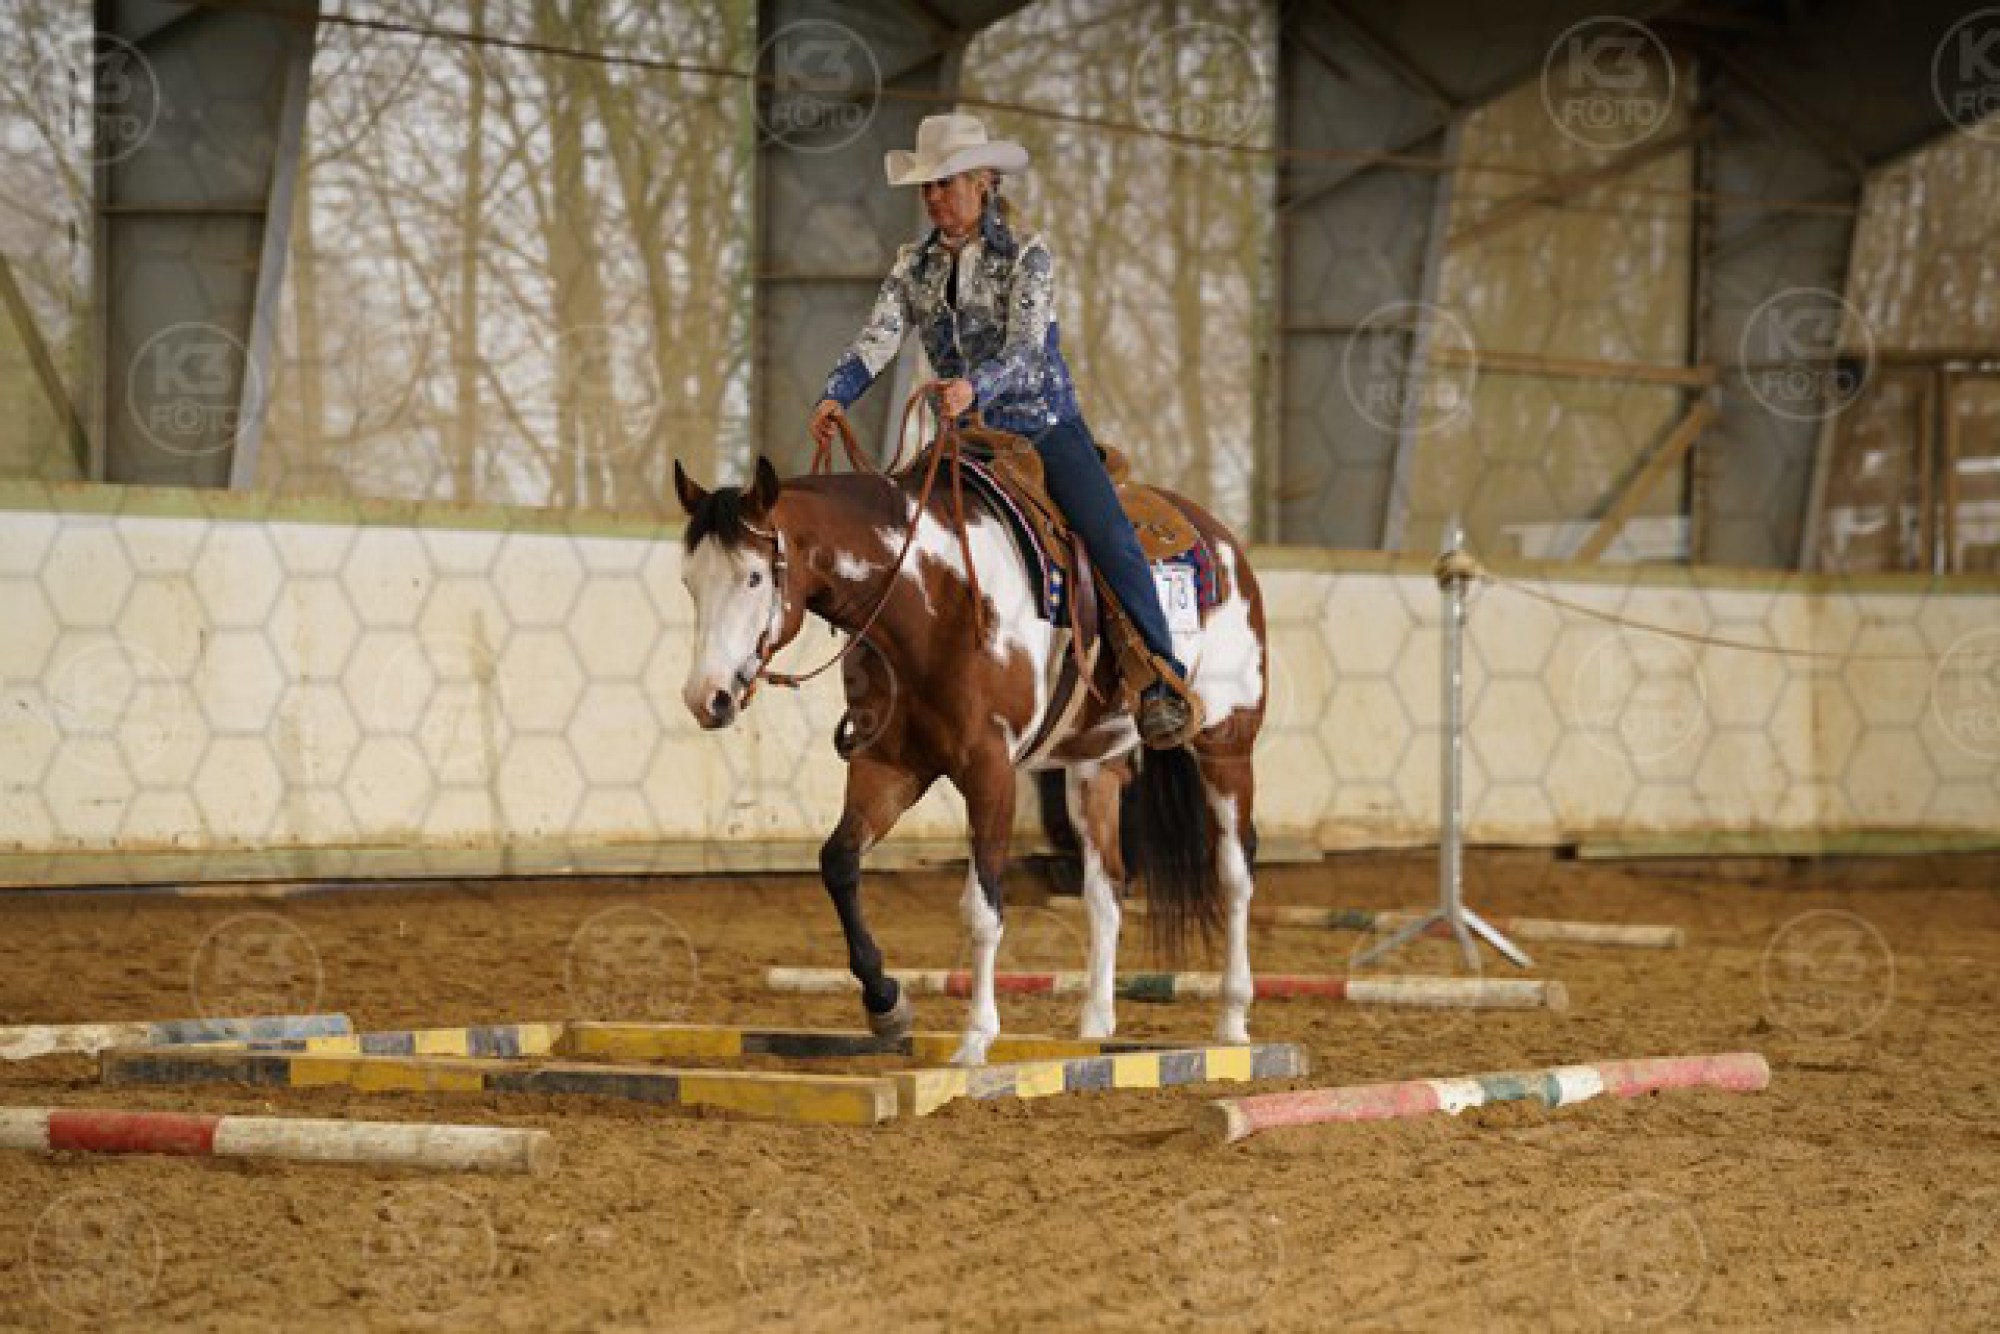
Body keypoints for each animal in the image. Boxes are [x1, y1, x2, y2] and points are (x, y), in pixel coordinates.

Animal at [671, 428, 1267, 1066]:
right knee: (1106, 886)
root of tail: (1221, 539)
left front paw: (976, 1036)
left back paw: (1233, 1020)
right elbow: (839, 863)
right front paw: (886, 1003)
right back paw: (1094, 1024)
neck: (933, 596)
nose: (705, 697)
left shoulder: (990, 770)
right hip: (1095, 764)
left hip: (1228, 745)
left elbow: (982, 908)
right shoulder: (889, 766)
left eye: (754, 578)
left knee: (1234, 873)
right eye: (690, 583)